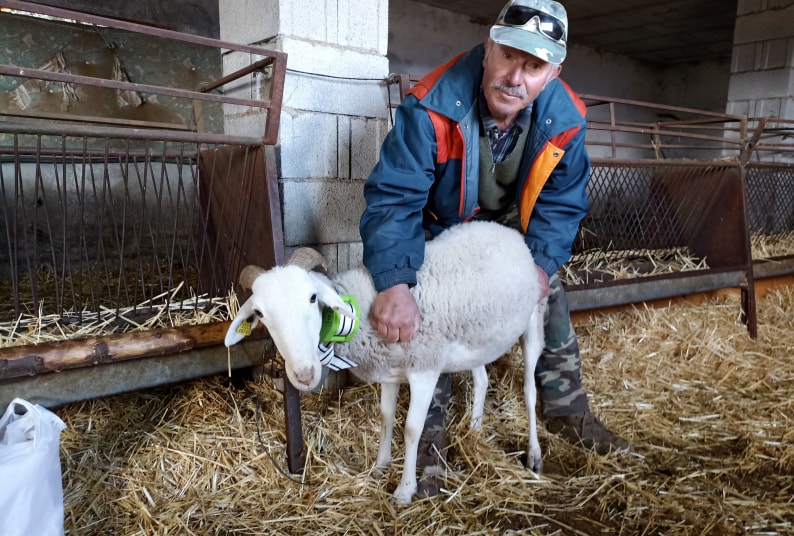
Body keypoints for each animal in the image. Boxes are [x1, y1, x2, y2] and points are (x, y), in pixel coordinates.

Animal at [223, 220, 544, 504]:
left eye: (313, 298)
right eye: (260, 314)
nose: (304, 374)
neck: (362, 312)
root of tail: (507, 232)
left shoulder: (425, 368)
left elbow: (412, 429)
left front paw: (404, 490)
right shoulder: (391, 373)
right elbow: (385, 417)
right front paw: (380, 466)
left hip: (533, 318)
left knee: (529, 391)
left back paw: (534, 454)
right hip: (474, 339)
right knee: (482, 379)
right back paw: (475, 429)